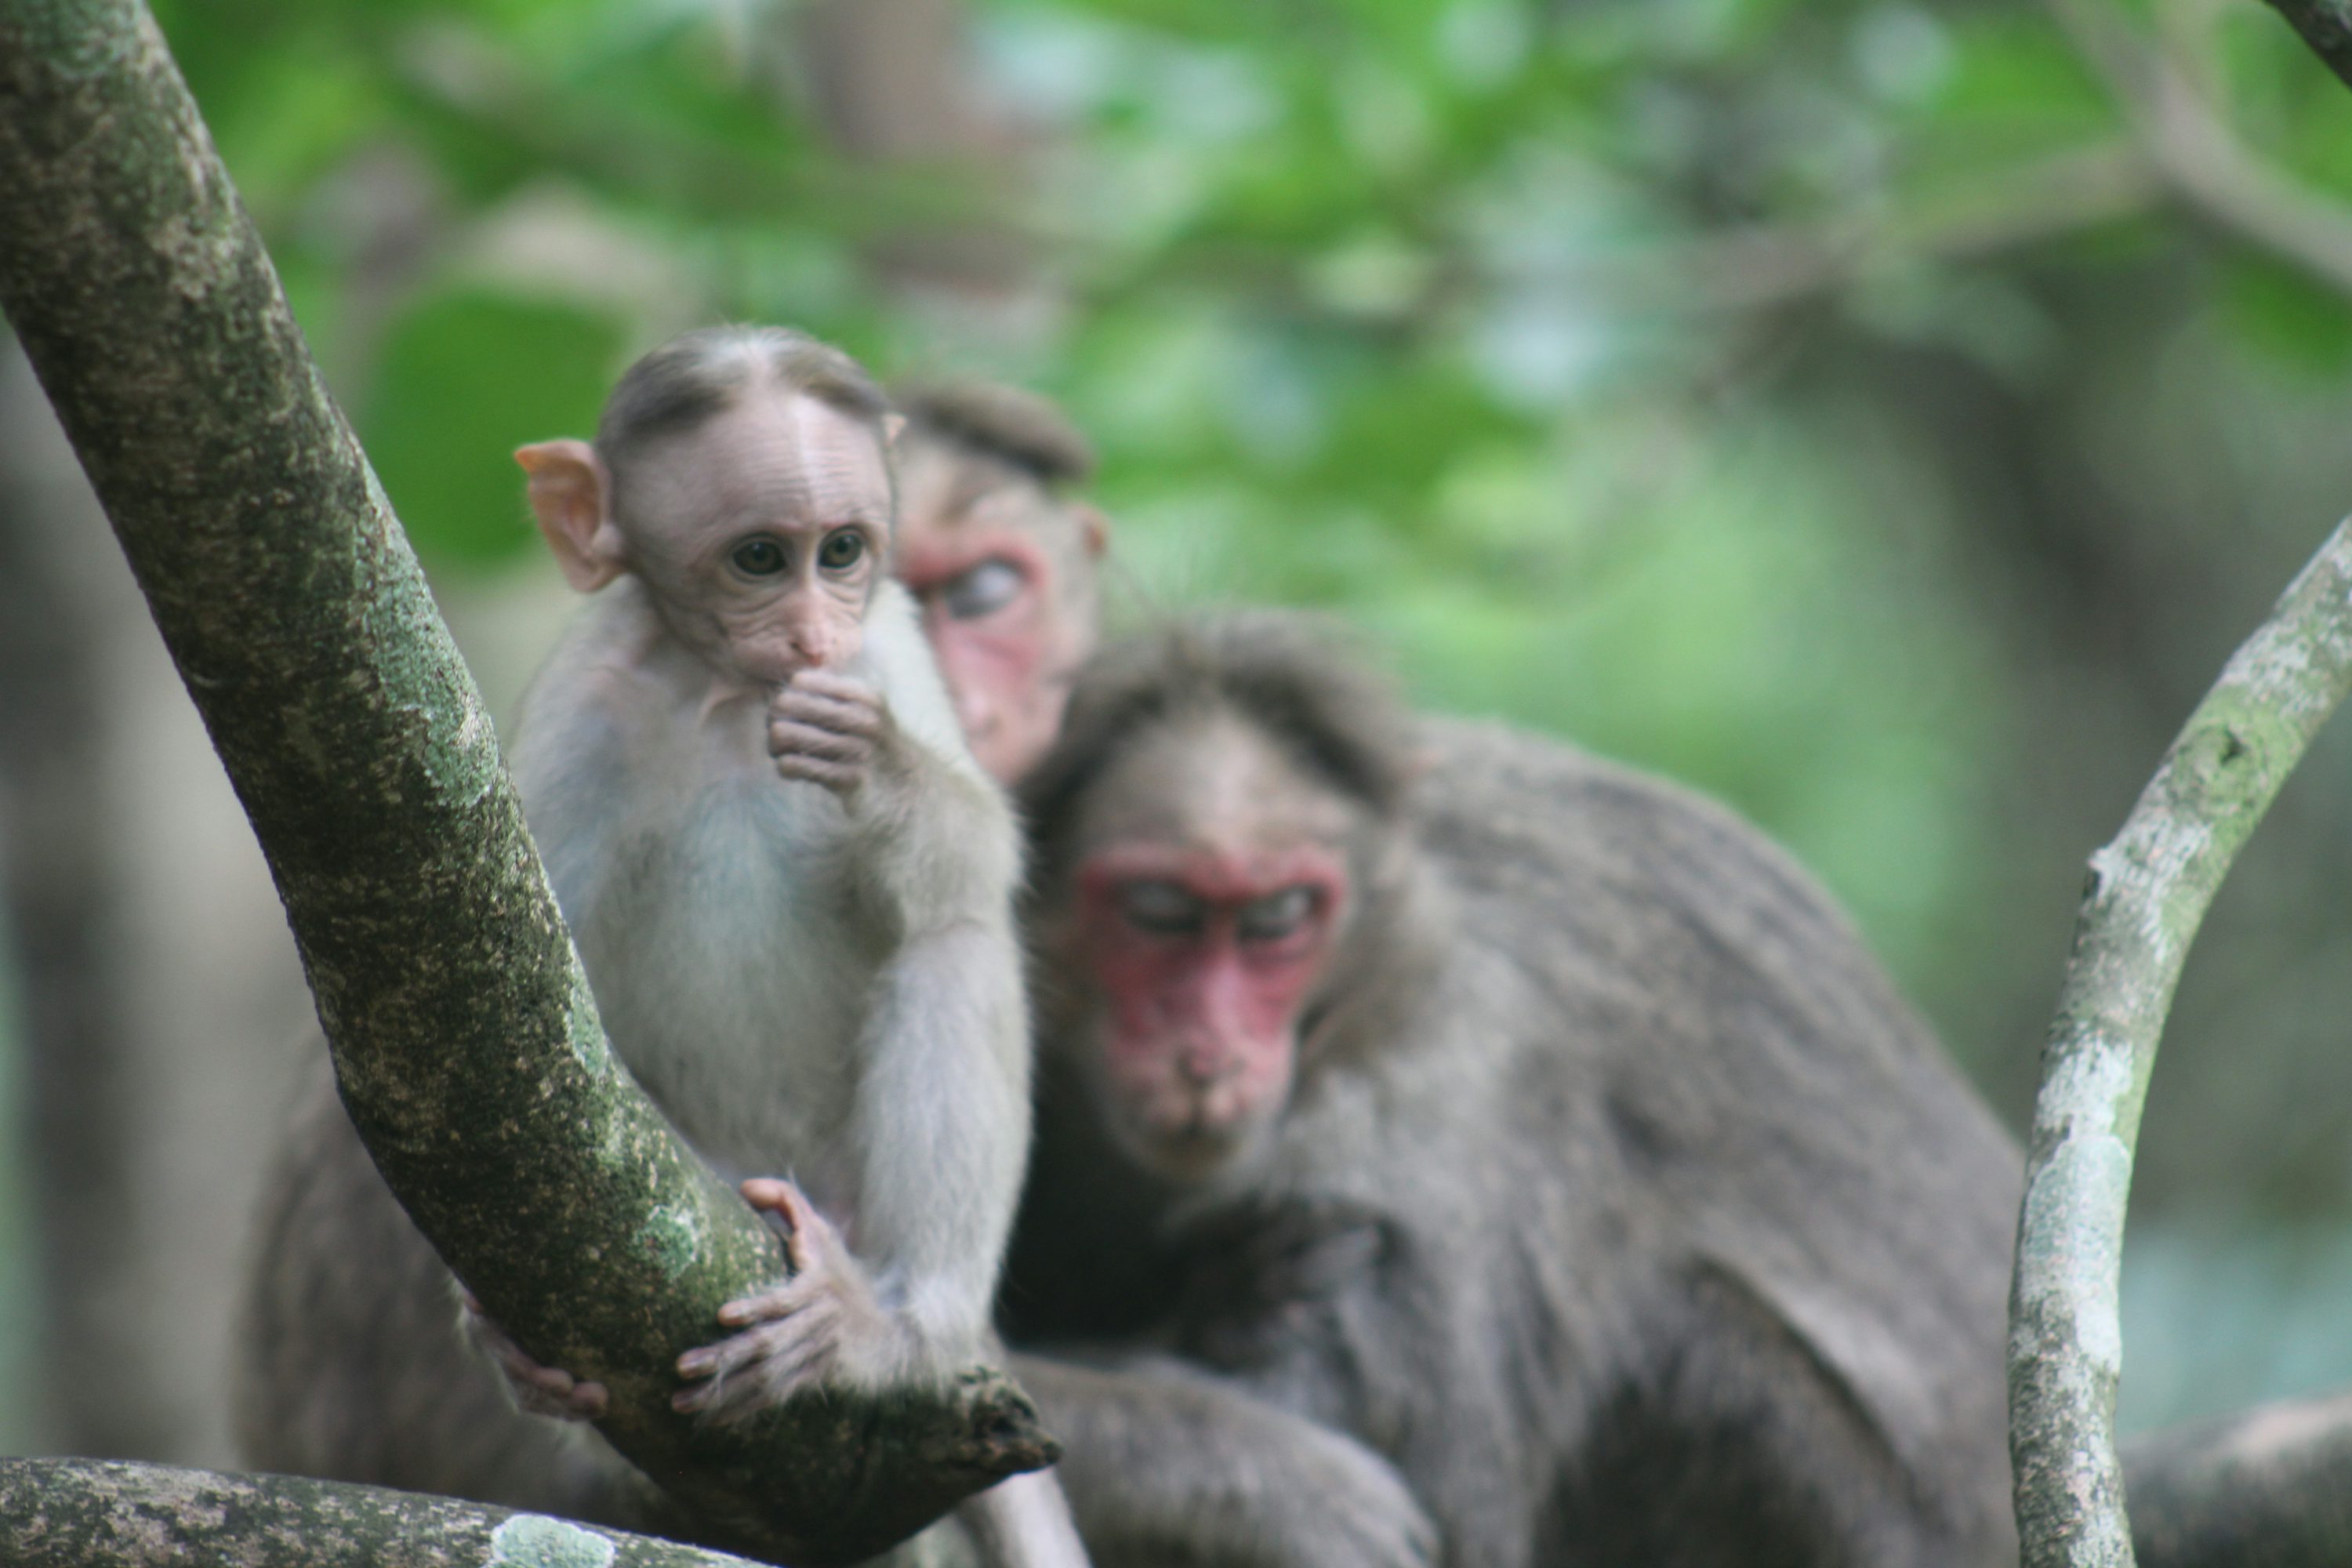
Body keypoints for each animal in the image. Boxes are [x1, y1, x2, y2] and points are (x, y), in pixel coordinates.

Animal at [496, 324, 1082, 1561]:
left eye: (844, 550)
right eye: (760, 558)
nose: (815, 631)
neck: (725, 692)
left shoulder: (889, 646)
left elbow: (973, 858)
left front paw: (880, 772)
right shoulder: (579, 713)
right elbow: (525, 1018)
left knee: (950, 940)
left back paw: (897, 1329)